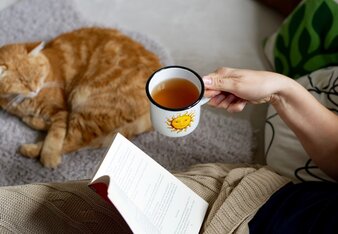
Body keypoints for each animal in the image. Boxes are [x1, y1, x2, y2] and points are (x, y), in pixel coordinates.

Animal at [0, 26, 162, 167]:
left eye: (36, 75)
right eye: (21, 82)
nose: (35, 89)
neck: (22, 102)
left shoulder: (60, 109)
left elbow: (56, 135)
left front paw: (49, 157)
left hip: (85, 101)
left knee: (74, 141)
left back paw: (31, 149)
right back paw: (32, 122)